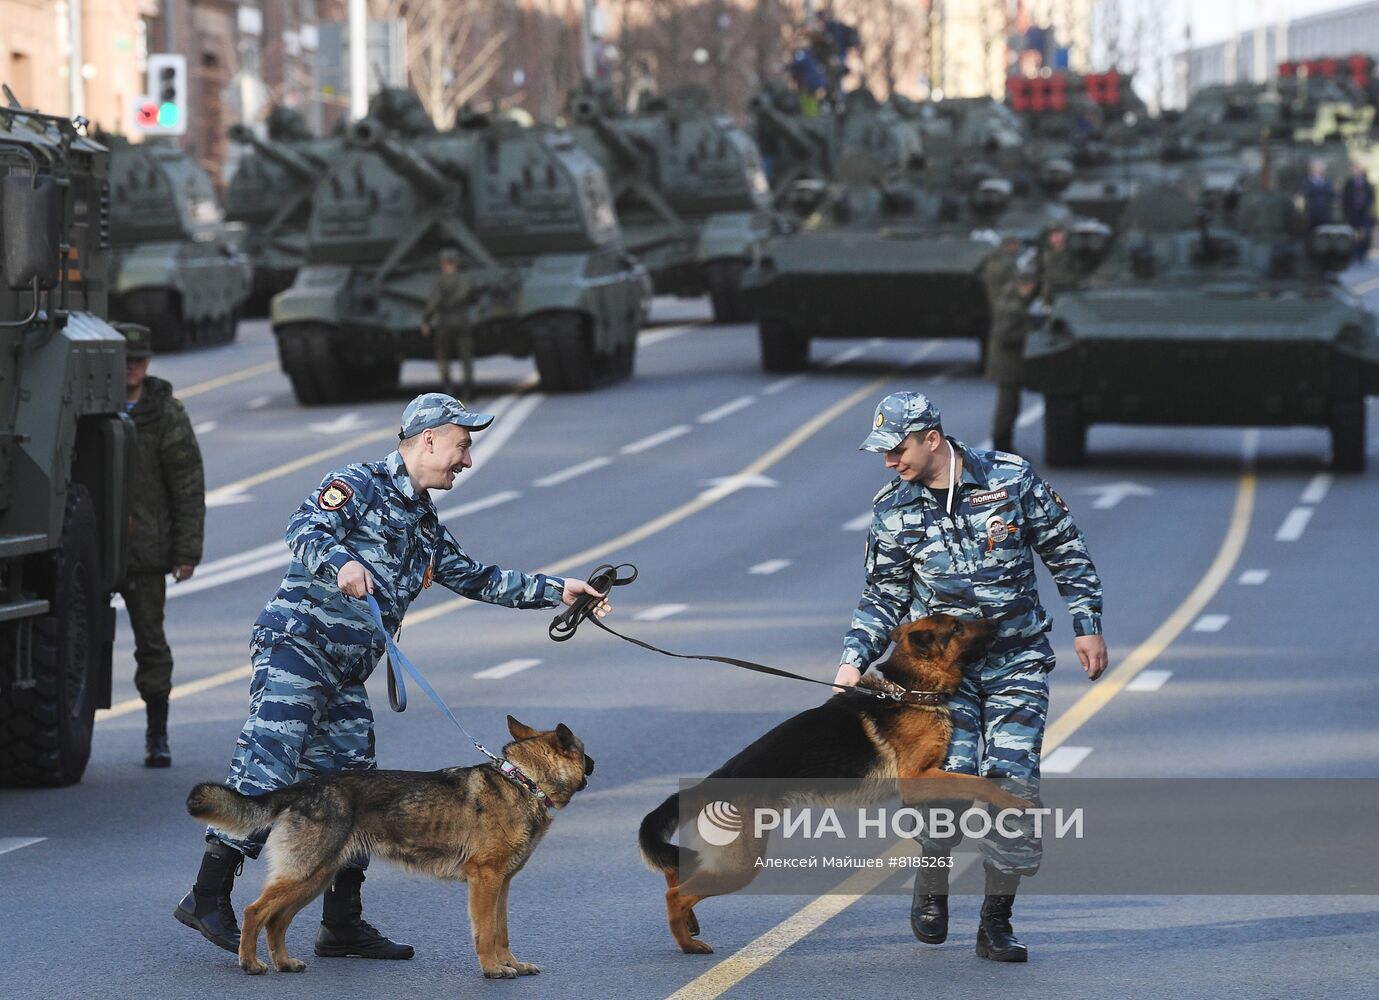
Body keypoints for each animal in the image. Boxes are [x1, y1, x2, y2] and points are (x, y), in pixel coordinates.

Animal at [184, 711, 592, 976]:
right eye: (585, 753)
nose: (593, 764)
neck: (524, 780)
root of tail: (305, 787)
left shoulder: (502, 885)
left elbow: (502, 931)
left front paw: (511, 964)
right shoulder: (485, 880)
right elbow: (486, 932)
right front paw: (492, 969)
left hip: (314, 879)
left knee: (277, 921)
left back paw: (284, 962)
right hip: (304, 875)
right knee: (255, 912)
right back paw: (249, 963)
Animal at [634, 615, 1025, 954]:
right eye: (957, 626)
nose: (997, 620)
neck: (908, 689)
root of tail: (719, 777)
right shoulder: (917, 779)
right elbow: (977, 782)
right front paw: (1011, 799)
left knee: (675, 871)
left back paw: (690, 925)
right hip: (741, 866)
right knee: (675, 895)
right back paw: (687, 944)